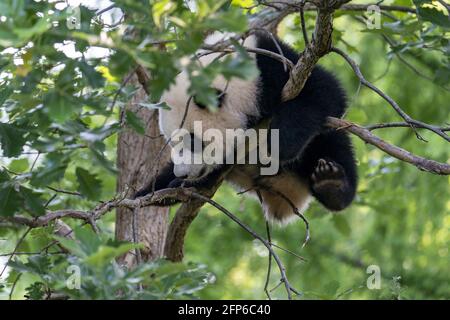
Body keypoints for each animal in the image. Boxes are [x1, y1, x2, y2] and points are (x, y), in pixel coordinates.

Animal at [135, 31, 356, 222]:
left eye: (194, 142)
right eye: (172, 143)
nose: (182, 173)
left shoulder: (276, 65)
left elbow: (323, 92)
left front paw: (281, 145)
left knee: (332, 145)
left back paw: (332, 184)